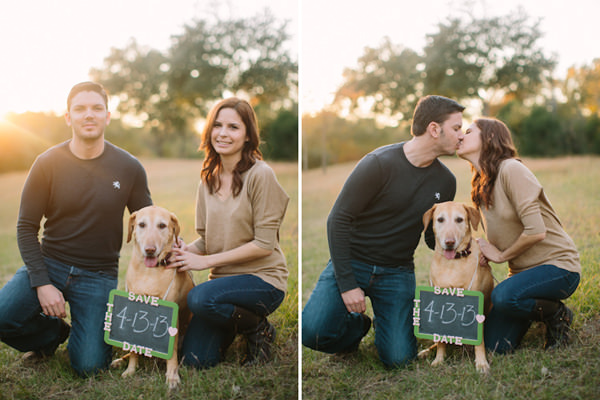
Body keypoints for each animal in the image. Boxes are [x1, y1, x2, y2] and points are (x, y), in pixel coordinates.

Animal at [112, 206, 195, 390]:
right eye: (141, 224)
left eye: (162, 225)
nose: (150, 250)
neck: (148, 272)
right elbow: (133, 349)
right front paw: (130, 370)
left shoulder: (171, 317)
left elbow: (172, 354)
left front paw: (172, 377)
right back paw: (120, 361)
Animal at [418, 202, 492, 374]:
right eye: (440, 219)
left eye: (459, 219)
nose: (449, 242)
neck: (452, 263)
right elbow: (440, 340)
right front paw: (439, 359)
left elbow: (480, 341)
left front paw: (481, 363)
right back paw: (426, 352)